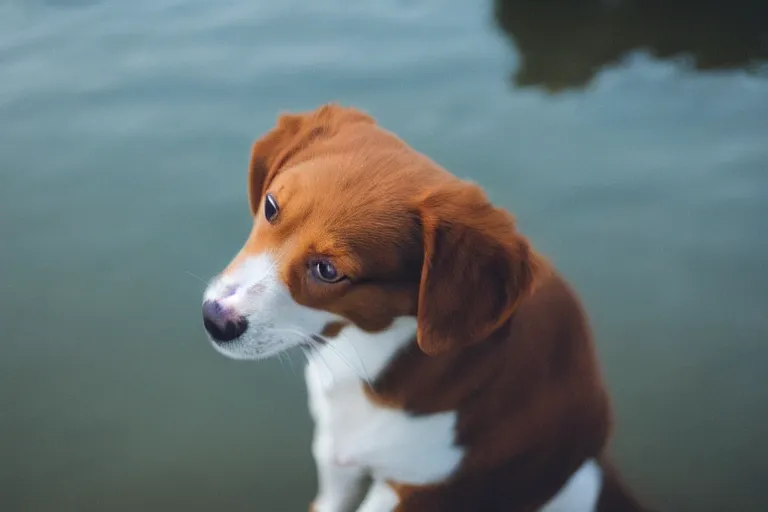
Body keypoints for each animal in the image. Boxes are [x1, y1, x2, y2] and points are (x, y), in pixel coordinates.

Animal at [201, 104, 644, 512]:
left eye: (328, 270)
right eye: (271, 207)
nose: (215, 319)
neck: (365, 357)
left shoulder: (408, 489)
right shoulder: (334, 457)